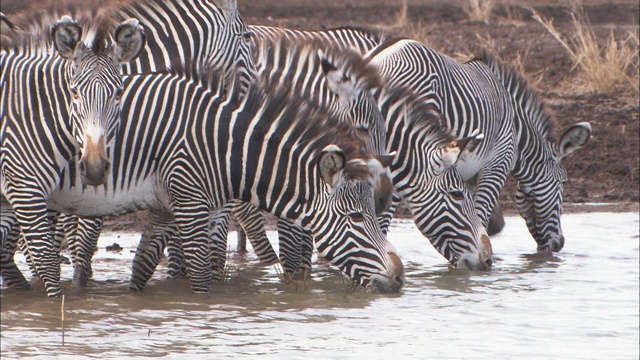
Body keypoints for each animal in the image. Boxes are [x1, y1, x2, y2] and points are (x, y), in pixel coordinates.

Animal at [0, 12, 146, 296]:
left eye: (118, 93)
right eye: (74, 92)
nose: (95, 167)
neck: (29, 112)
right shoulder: (25, 191)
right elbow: (47, 261)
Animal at [2, 64, 404, 296]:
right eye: (356, 218)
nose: (400, 278)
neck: (223, 148)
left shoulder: (166, 206)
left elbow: (144, 264)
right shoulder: (191, 203)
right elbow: (199, 273)